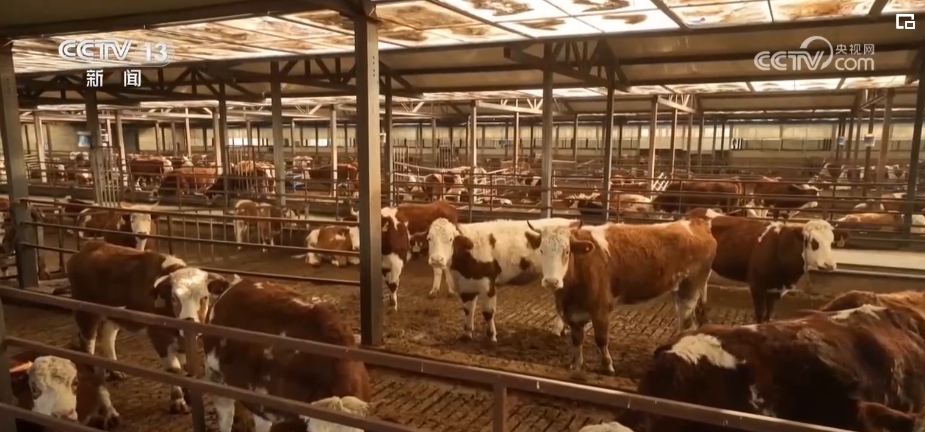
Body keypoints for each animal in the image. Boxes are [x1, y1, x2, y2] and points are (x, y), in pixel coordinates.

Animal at [67, 241, 232, 414]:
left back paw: (115, 371)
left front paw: (188, 396)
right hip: (85, 313)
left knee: (107, 337)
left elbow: (184, 366)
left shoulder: (181, 338)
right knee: (88, 341)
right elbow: (174, 369)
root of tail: (89, 246)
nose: (189, 320)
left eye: (204, 297)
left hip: (112, 316)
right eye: (174, 297)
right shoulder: (159, 335)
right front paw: (177, 402)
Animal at [422, 217, 578, 343]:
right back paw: (563, 329)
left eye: (450, 239)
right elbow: (468, 310)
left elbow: (488, 312)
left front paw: (491, 336)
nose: (436, 259)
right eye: (429, 238)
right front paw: (466, 334)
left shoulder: (488, 285)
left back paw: (557, 330)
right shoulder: (467, 286)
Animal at [524, 218, 715, 373]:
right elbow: (577, 339)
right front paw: (576, 364)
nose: (551, 281)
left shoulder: (601, 308)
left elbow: (601, 339)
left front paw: (607, 366)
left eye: (566, 251)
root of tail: (695, 223)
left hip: (690, 289)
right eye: (541, 250)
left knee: (687, 324)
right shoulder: (573, 313)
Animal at [686, 208, 846, 323]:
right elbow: (760, 314)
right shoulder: (757, 286)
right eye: (814, 242)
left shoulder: (775, 290)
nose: (829, 265)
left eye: (832, 242)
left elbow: (769, 315)